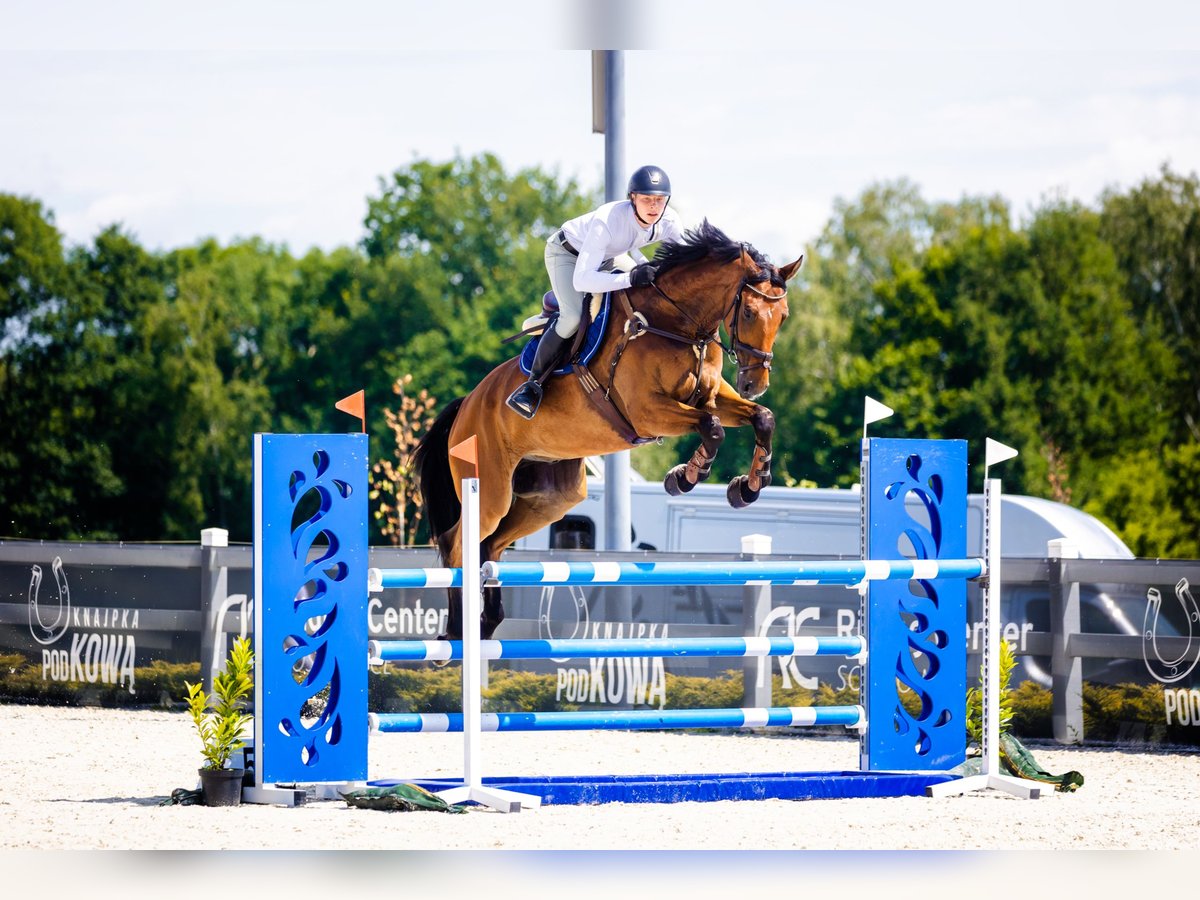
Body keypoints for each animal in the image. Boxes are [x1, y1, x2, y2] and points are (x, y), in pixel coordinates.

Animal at [415, 218, 806, 643]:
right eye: (749, 313)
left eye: (784, 316)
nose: (755, 383)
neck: (677, 324)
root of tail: (467, 405)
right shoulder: (647, 412)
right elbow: (712, 427)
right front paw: (684, 477)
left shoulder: (713, 396)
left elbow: (762, 418)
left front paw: (747, 487)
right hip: (489, 489)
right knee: (459, 544)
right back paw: (457, 630)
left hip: (553, 497)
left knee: (492, 546)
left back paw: (487, 623)